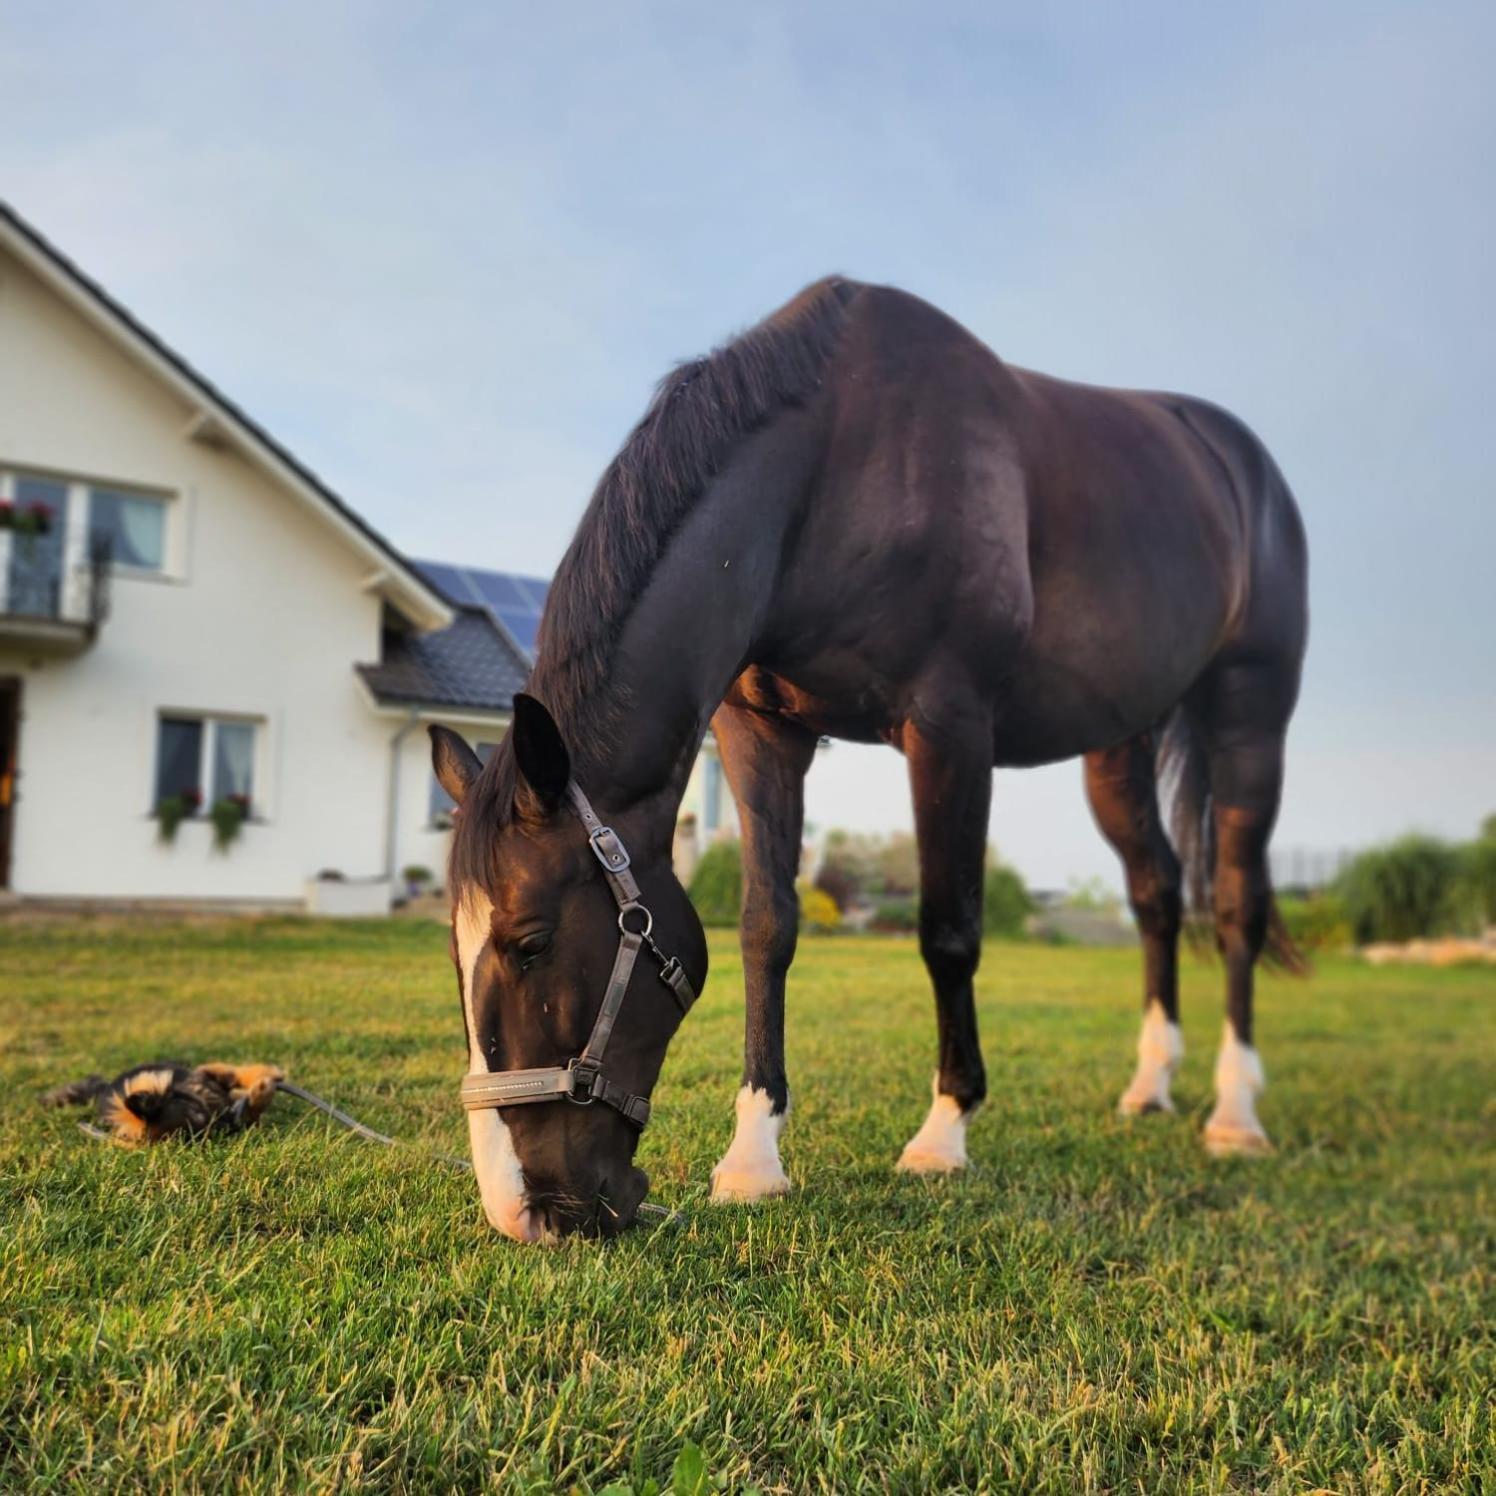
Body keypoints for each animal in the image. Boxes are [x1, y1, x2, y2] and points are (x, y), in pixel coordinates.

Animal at [427, 278, 1304, 1238]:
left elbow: (948, 931)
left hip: (1250, 719)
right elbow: (767, 926)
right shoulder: (759, 730)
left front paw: (945, 1132)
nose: (522, 1210)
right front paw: (754, 1157)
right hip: (1121, 744)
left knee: (1235, 903)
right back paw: (1152, 1084)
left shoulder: (950, 725)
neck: (831, 475)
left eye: (531, 942)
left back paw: (1237, 1111)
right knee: (1155, 892)